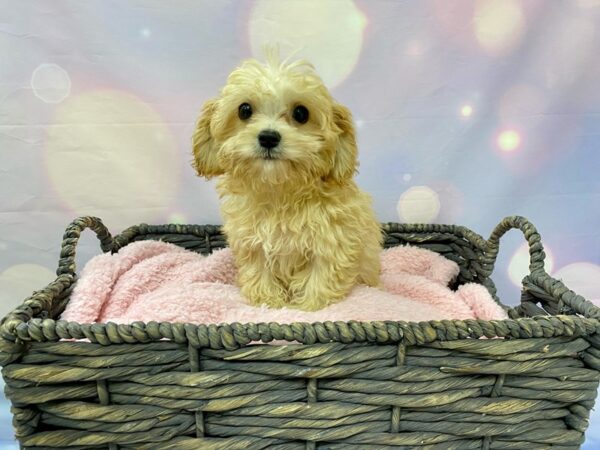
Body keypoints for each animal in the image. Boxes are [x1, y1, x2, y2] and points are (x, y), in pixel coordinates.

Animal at [193, 54, 380, 312]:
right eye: (244, 110)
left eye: (301, 113)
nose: (268, 137)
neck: (280, 191)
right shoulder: (252, 244)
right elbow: (259, 273)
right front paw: (268, 302)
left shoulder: (332, 242)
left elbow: (320, 277)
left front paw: (307, 307)